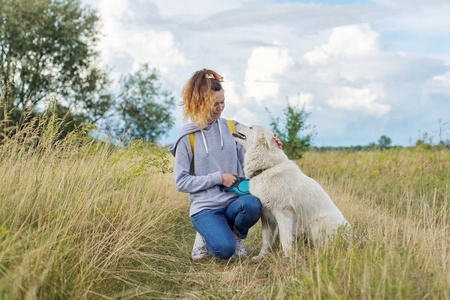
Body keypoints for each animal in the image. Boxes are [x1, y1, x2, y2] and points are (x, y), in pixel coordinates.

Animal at [234, 123, 350, 258]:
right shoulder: (267, 217)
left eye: (251, 127)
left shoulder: (283, 213)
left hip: (317, 225)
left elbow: (285, 239)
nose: (235, 122)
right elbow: (266, 241)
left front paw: (287, 258)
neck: (266, 168)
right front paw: (260, 257)